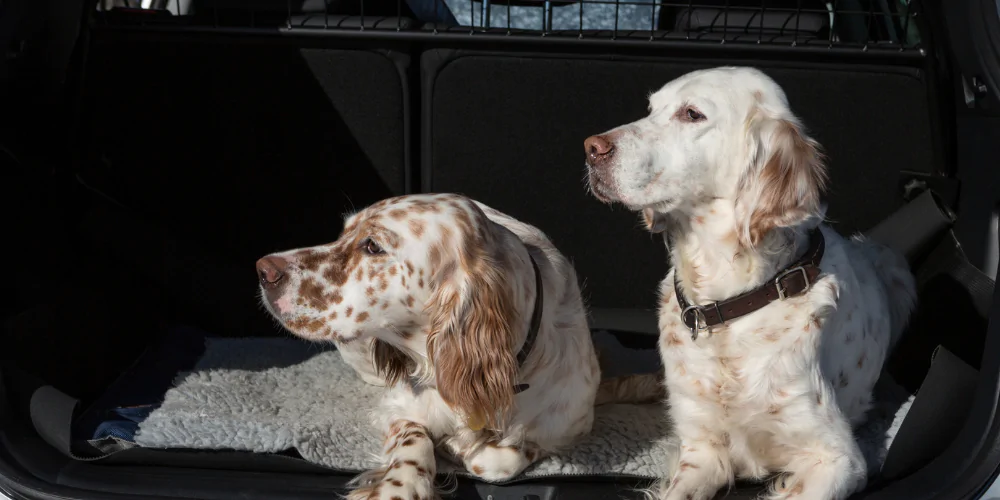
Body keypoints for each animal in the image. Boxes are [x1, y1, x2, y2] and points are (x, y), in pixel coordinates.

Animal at [258, 193, 600, 498]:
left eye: (372, 246)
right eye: (343, 233)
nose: (263, 269)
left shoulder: (573, 427)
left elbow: (498, 461)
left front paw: (458, 446)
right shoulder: (398, 406)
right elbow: (414, 438)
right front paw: (399, 486)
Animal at [584, 67, 916, 500]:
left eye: (692, 114)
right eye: (651, 108)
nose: (591, 148)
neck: (726, 305)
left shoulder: (838, 458)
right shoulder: (702, 449)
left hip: (896, 268)